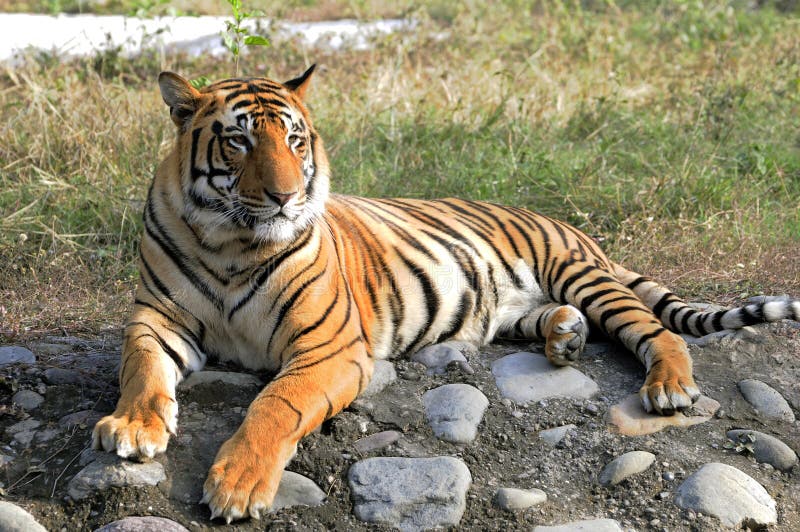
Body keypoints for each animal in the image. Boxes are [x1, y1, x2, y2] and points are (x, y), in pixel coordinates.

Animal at [92, 65, 800, 523]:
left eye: (294, 139)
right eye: (238, 140)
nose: (286, 196)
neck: (232, 245)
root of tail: (573, 228)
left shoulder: (328, 347)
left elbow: (274, 405)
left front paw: (237, 484)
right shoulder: (156, 318)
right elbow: (141, 370)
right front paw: (131, 427)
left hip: (581, 274)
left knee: (658, 331)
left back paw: (669, 387)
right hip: (510, 311)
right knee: (563, 323)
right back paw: (564, 338)